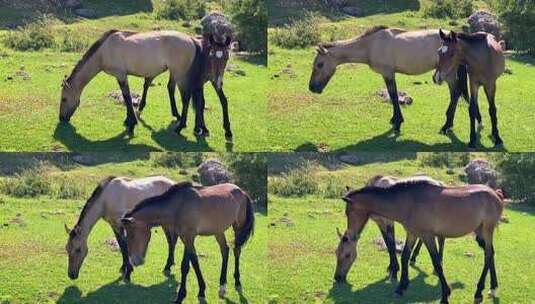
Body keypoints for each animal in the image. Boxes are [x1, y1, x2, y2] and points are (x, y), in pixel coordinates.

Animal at [59, 29, 233, 141]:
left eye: (64, 99)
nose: (61, 118)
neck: (104, 51)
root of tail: (192, 41)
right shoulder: (123, 76)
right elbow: (127, 97)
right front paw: (129, 120)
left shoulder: (120, 75)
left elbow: (127, 97)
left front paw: (131, 123)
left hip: (181, 75)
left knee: (186, 99)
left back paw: (181, 126)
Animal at [121, 182, 255, 302]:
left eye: (132, 234)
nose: (135, 261)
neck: (178, 207)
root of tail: (242, 191)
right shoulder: (185, 238)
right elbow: (191, 263)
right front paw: (199, 291)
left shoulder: (189, 237)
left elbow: (187, 265)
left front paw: (184, 295)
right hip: (218, 231)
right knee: (225, 250)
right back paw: (222, 286)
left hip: (238, 227)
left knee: (236, 251)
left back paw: (237, 282)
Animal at [308, 26, 484, 134]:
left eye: (319, 64)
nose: (312, 88)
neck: (370, 45)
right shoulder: (389, 74)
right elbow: (392, 96)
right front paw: (395, 119)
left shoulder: (388, 73)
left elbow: (393, 95)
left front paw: (398, 122)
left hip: (448, 74)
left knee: (455, 93)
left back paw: (446, 125)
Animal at [338, 179, 504, 304]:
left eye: (348, 212)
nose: (337, 278)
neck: (409, 202)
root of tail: (495, 194)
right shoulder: (412, 233)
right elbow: (405, 256)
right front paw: (401, 287)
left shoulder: (427, 236)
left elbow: (437, 263)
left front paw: (445, 295)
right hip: (480, 231)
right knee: (491, 254)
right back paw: (493, 287)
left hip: (487, 229)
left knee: (488, 255)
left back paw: (479, 292)